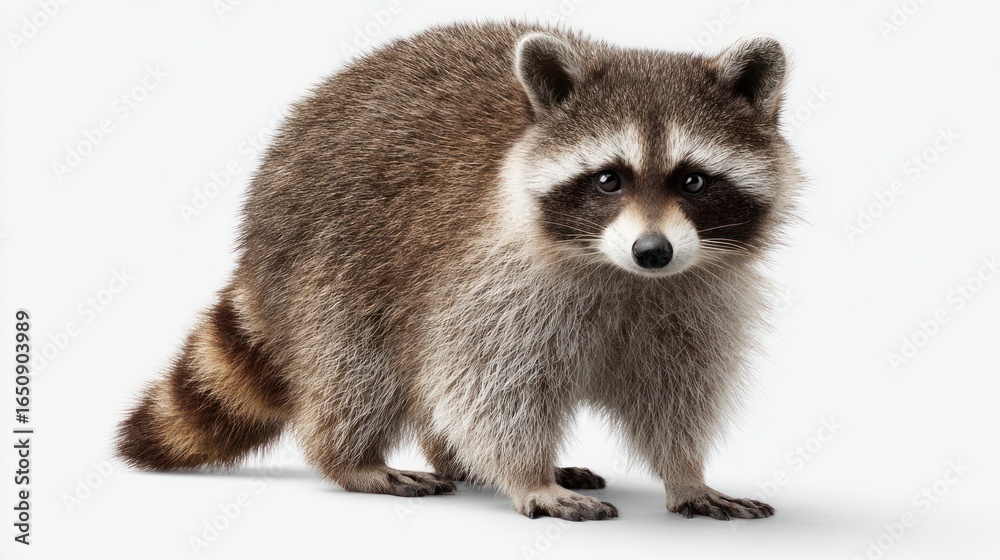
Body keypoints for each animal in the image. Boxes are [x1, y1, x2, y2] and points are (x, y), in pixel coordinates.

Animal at [117, 21, 798, 521]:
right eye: (609, 179)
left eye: (693, 180)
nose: (652, 251)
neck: (622, 274)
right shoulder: (493, 280)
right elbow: (488, 388)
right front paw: (527, 475)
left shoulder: (694, 296)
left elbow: (674, 391)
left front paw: (685, 471)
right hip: (329, 259)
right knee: (355, 367)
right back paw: (353, 459)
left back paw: (454, 460)